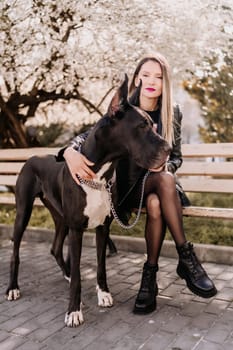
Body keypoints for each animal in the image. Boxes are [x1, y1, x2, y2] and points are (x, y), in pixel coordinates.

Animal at [5, 75, 169, 326]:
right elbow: (79, 275)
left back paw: (66, 273)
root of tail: (31, 156)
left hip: (60, 216)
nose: (169, 149)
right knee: (16, 251)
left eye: (153, 125)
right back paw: (13, 288)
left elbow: (101, 266)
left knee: (55, 248)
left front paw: (104, 294)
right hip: (24, 211)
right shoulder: (76, 229)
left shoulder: (102, 227)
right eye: (142, 126)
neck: (99, 175)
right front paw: (73, 310)